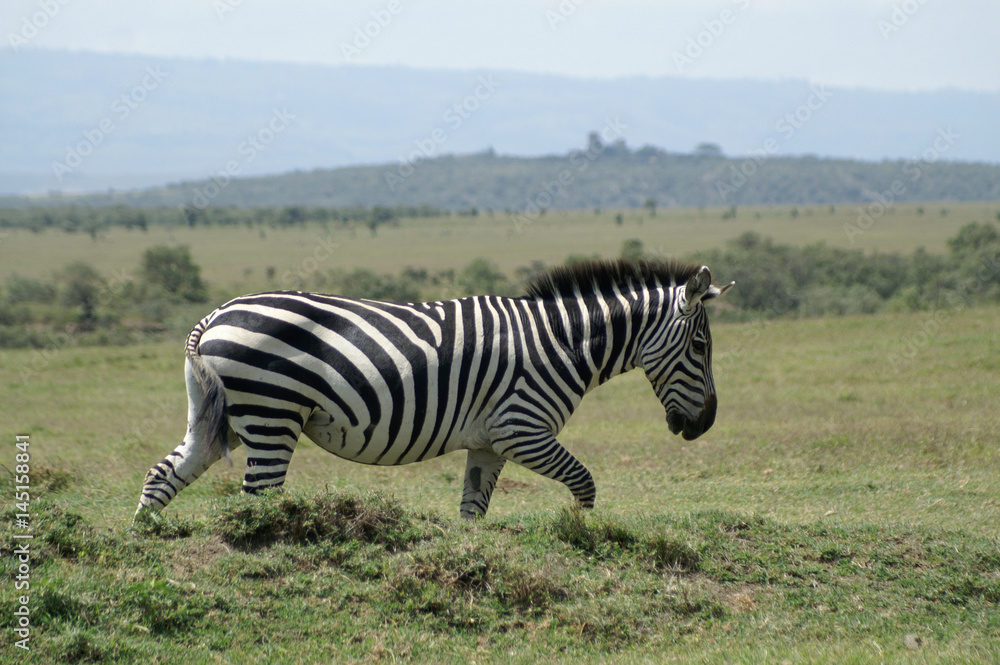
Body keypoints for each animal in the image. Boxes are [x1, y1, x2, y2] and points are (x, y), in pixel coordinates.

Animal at [135, 259, 733, 520]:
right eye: (701, 346)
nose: (705, 424)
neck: (562, 342)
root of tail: (214, 315)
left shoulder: (489, 443)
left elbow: (472, 511)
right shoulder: (522, 430)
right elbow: (585, 484)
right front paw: (582, 536)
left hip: (219, 415)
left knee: (164, 472)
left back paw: (145, 543)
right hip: (270, 414)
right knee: (258, 495)